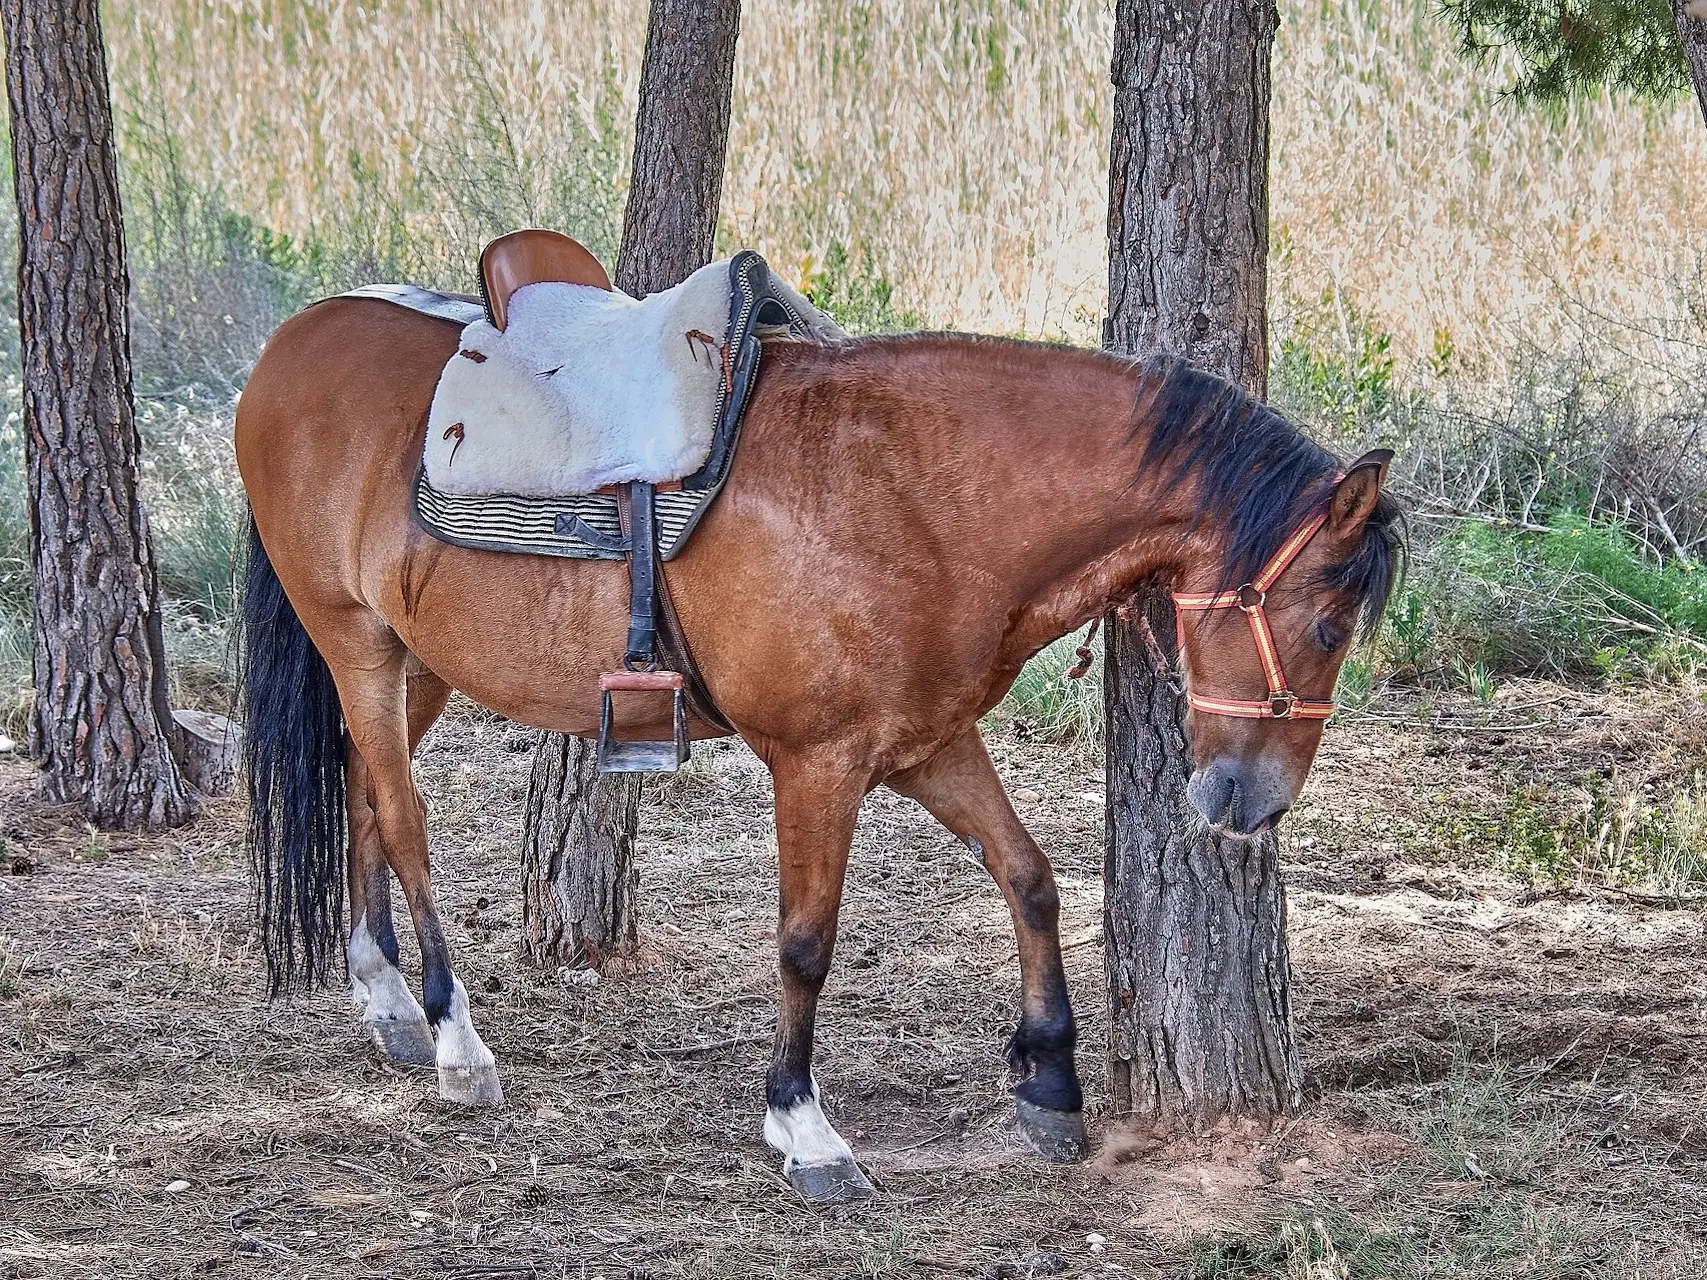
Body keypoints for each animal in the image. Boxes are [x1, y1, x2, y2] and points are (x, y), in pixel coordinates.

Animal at [230, 298, 1399, 1201]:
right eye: (1327, 624)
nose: (1251, 802)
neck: (912, 497)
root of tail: (294, 341)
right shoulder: (817, 762)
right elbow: (806, 942)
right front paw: (803, 1127)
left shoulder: (930, 743)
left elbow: (1029, 879)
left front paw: (1050, 1082)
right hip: (355, 641)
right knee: (404, 817)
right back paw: (454, 1039)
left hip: (412, 659)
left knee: (364, 789)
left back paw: (383, 994)